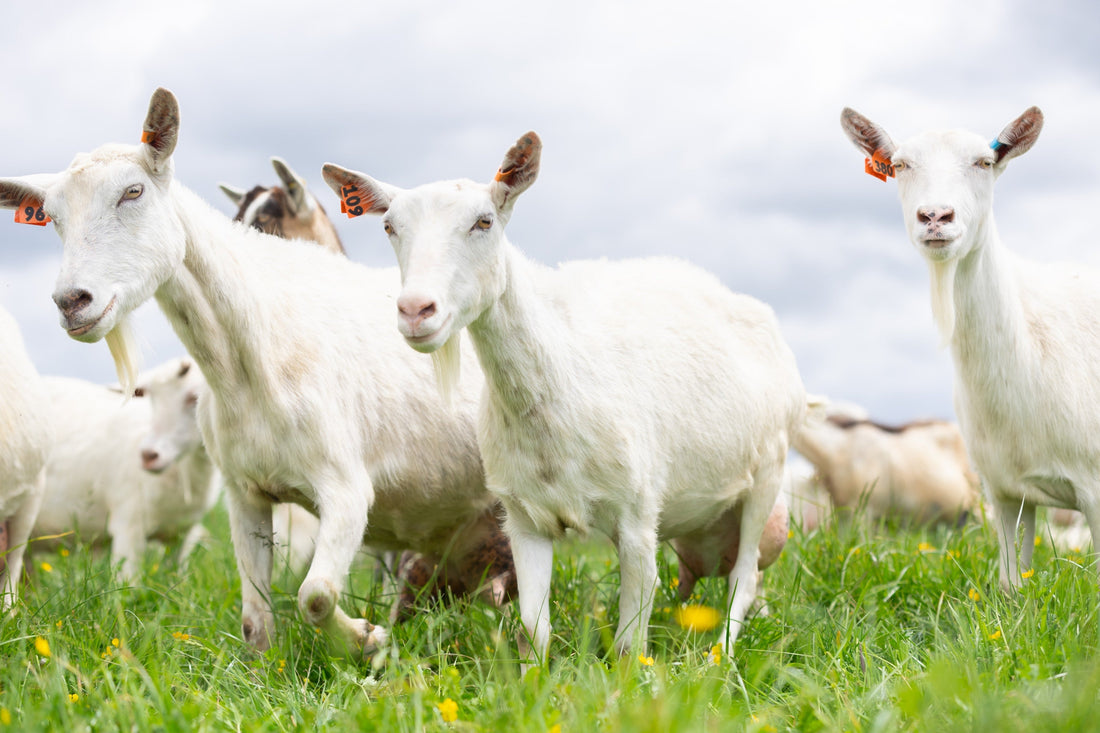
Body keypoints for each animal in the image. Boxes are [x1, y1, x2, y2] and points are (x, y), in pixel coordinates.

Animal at [0, 87, 515, 657]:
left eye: (132, 191)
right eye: (51, 216)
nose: (72, 302)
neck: (255, 357)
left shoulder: (346, 490)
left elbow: (315, 594)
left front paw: (365, 639)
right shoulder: (244, 495)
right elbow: (256, 622)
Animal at [323, 131, 809, 661]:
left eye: (484, 221)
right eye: (389, 226)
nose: (415, 310)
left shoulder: (637, 516)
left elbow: (628, 644)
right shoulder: (523, 517)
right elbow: (534, 630)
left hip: (767, 473)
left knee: (744, 576)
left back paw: (720, 656)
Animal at [841, 105, 1100, 589]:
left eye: (984, 162)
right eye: (899, 165)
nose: (935, 216)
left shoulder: (1094, 486)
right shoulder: (1004, 490)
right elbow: (1011, 586)